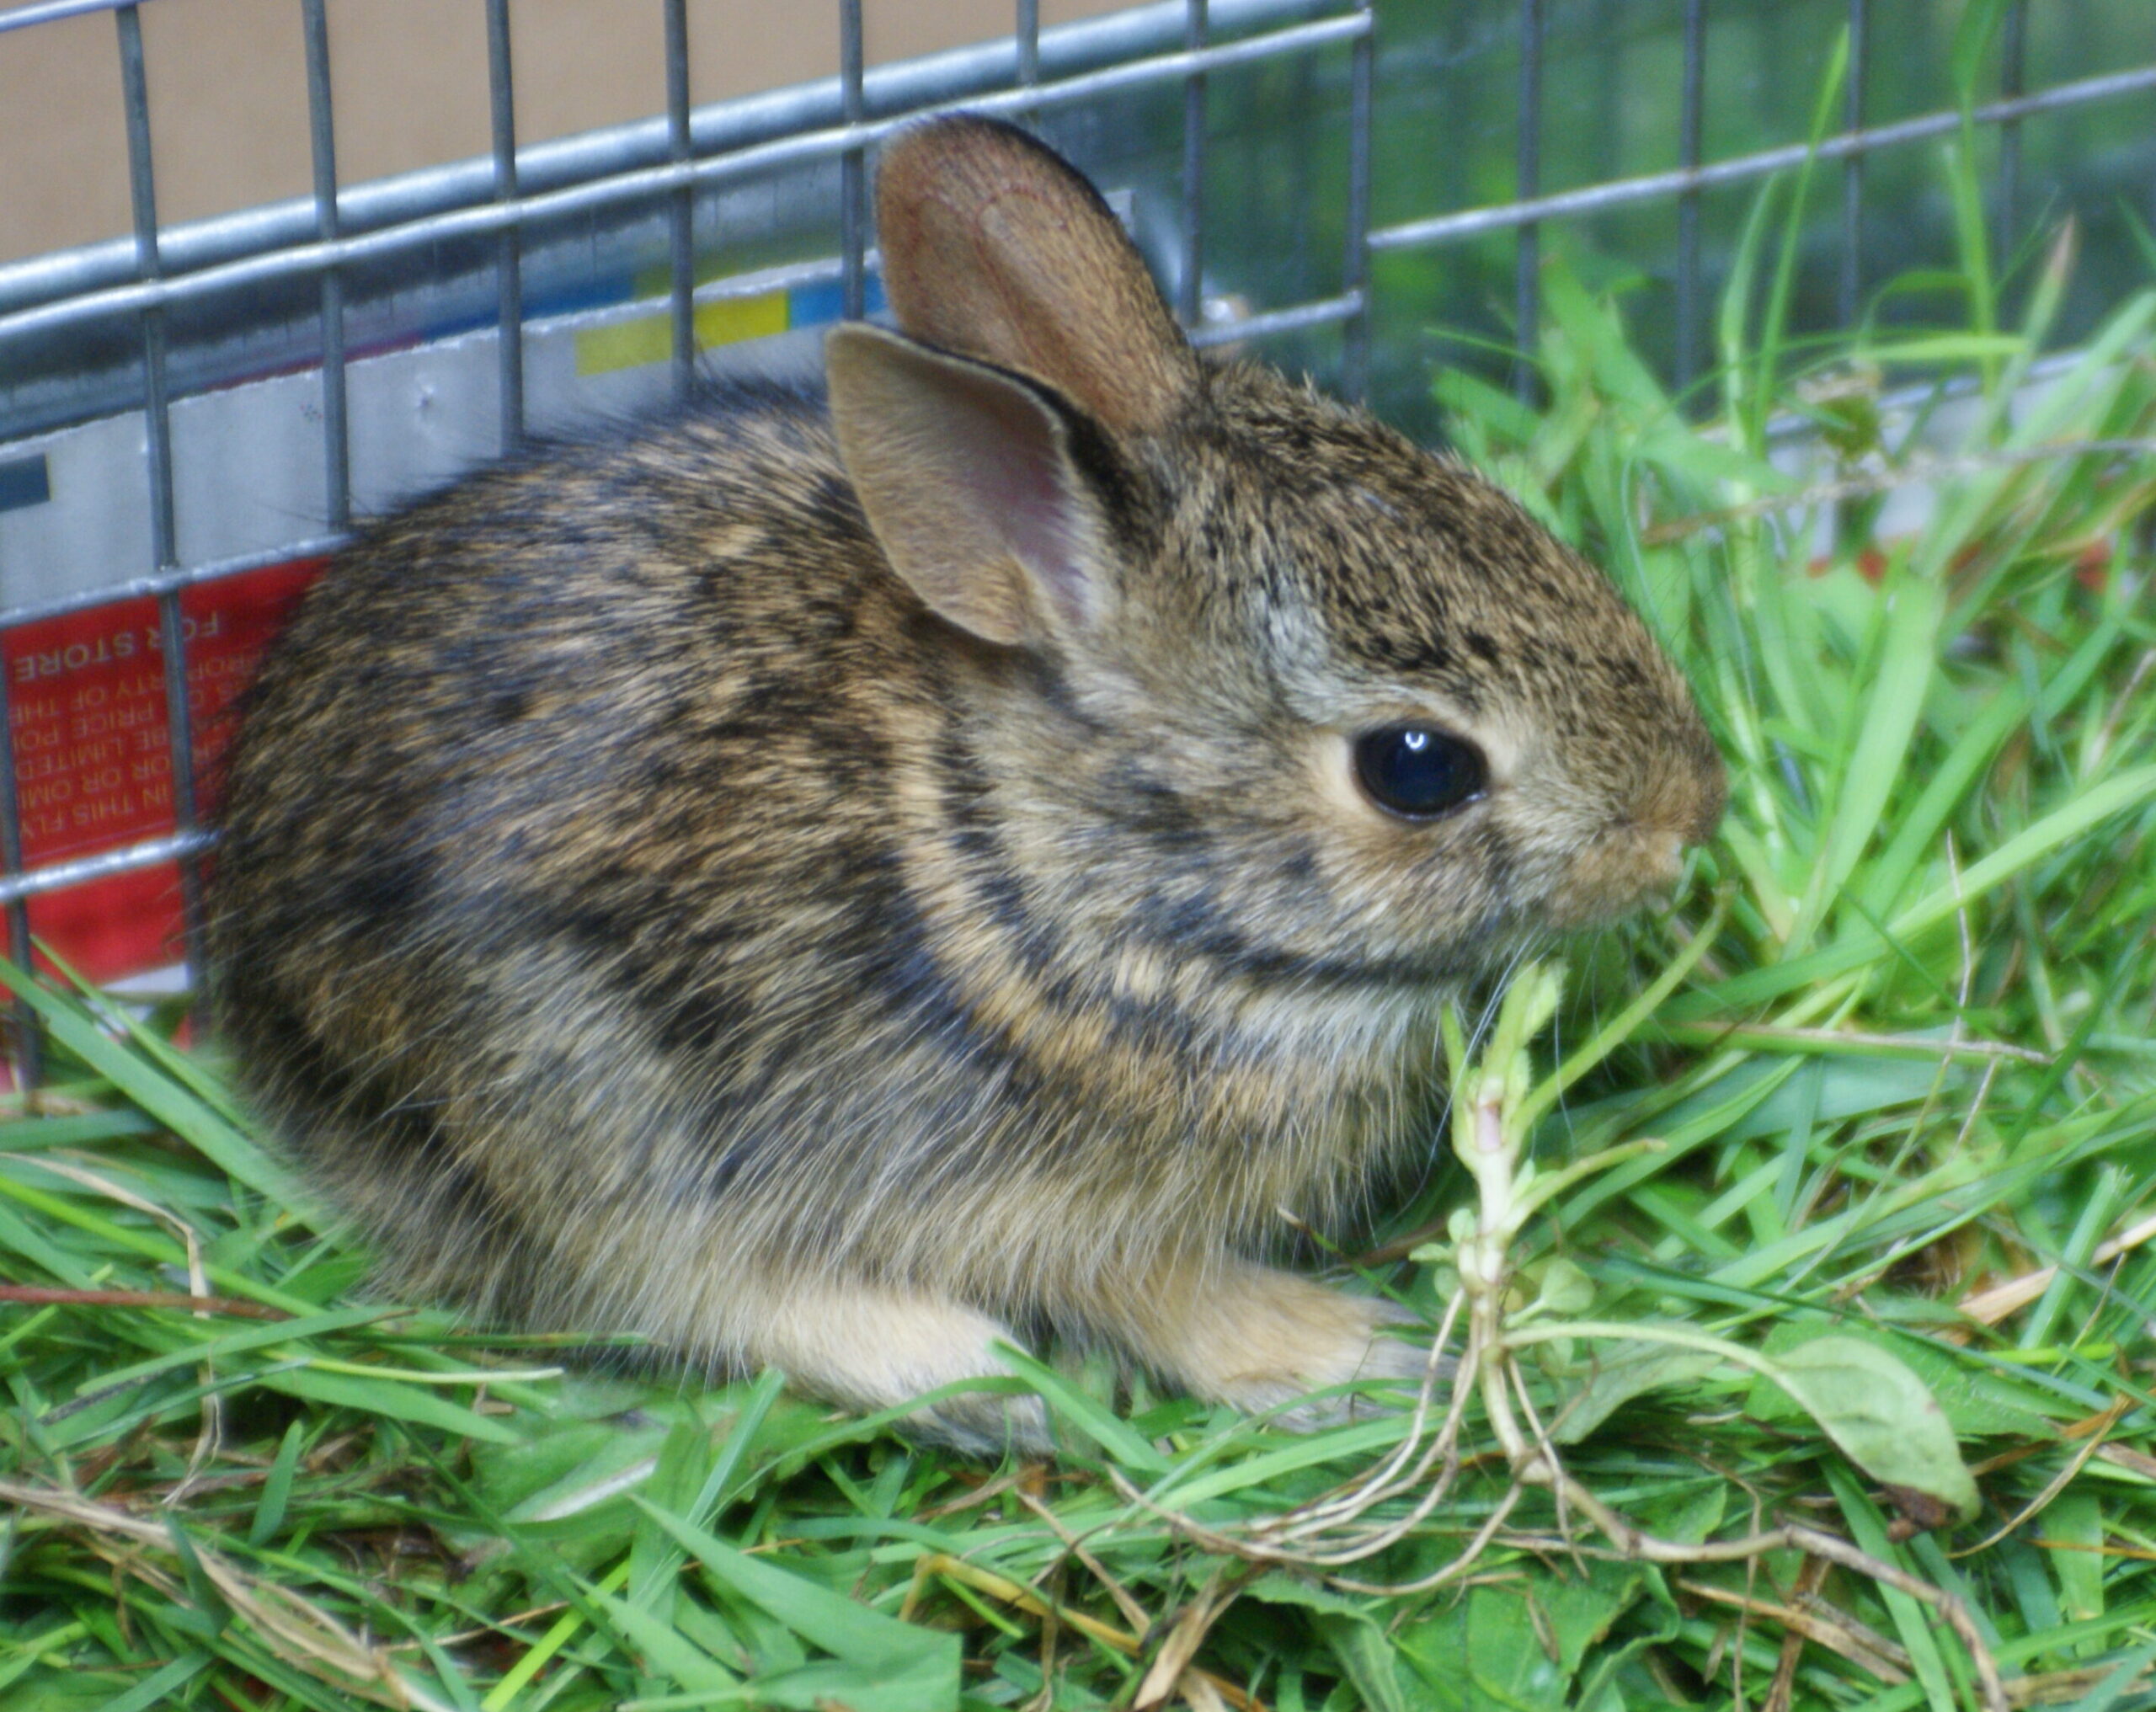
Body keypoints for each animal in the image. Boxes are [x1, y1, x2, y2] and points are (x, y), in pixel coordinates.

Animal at [202, 113, 1725, 1448]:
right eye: (1418, 768)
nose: (1686, 818)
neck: (1060, 870)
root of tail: (251, 961)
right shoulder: (1043, 1205)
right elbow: (1162, 1291)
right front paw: (1348, 1354)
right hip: (568, 1101)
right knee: (669, 1285)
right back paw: (974, 1377)